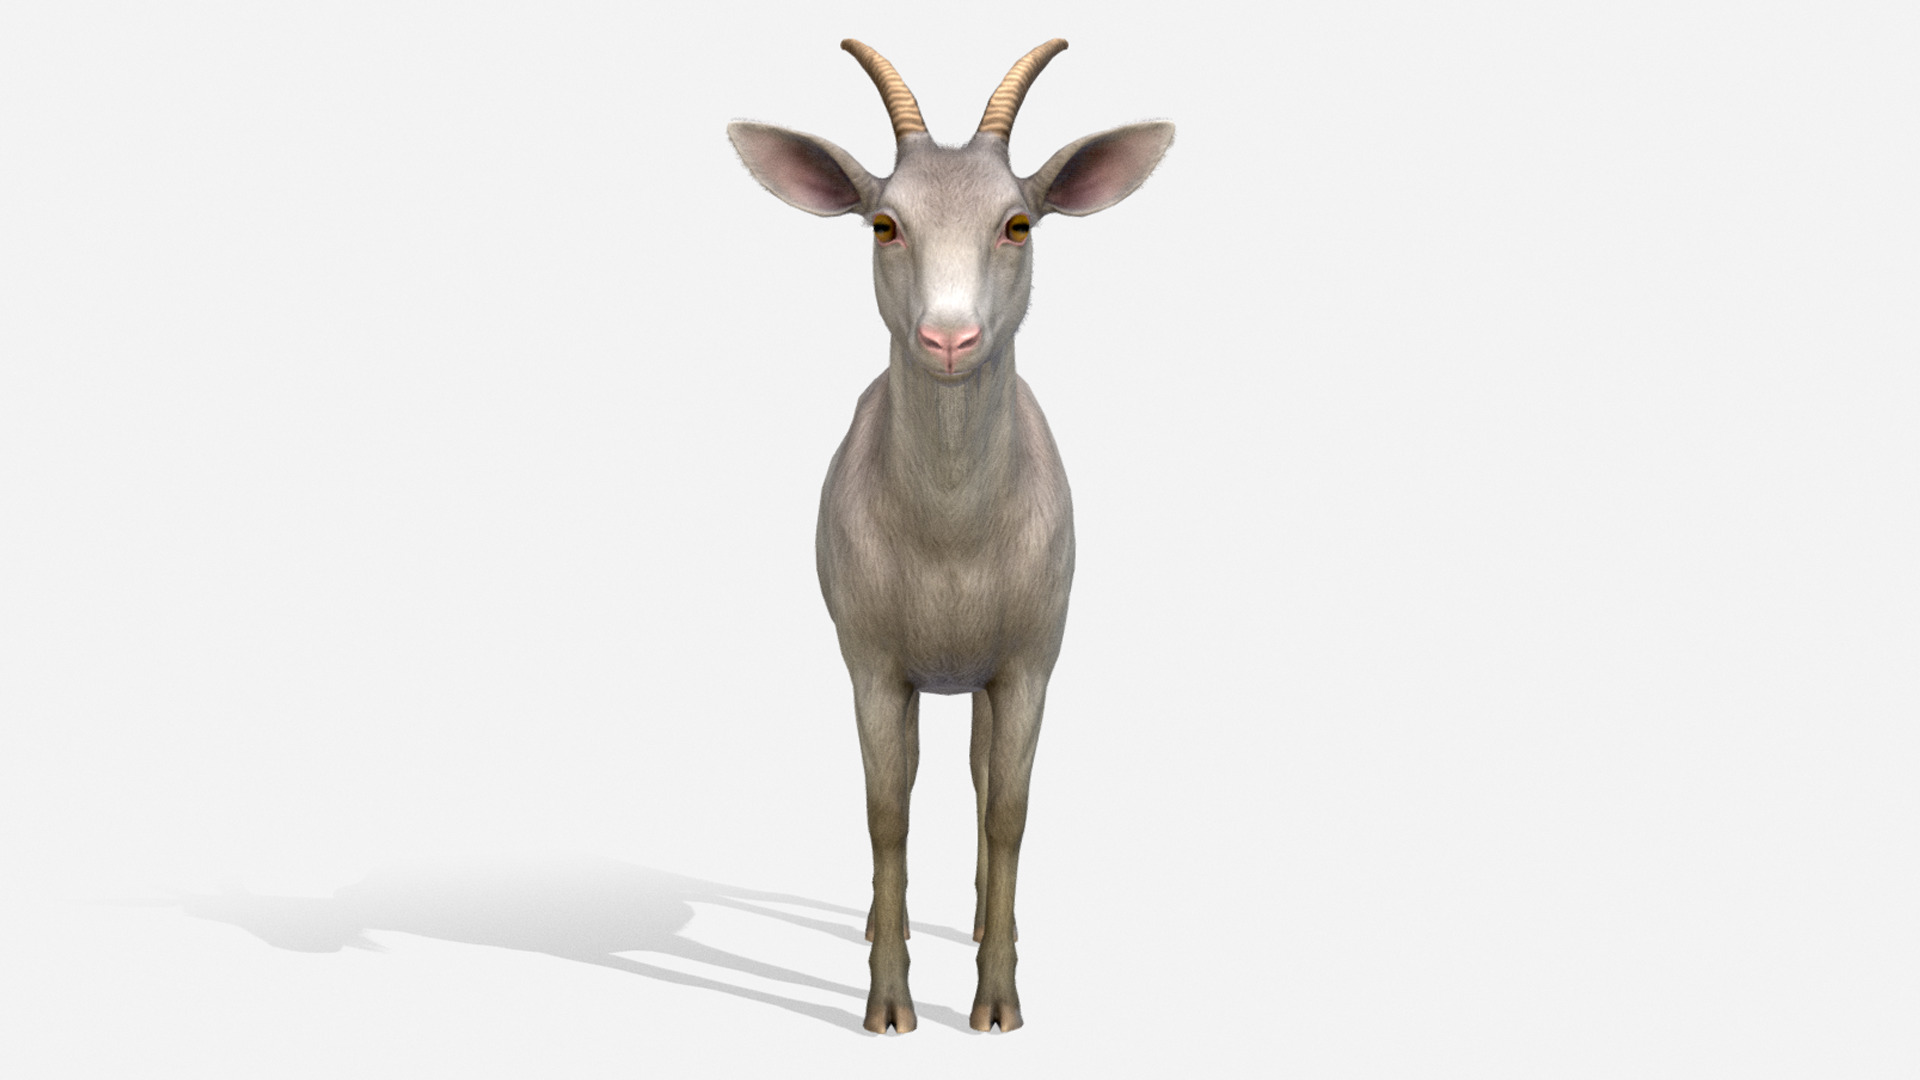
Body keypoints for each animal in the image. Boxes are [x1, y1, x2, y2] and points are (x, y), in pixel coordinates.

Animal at [727, 39, 1172, 1034]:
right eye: (885, 224)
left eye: (1018, 223)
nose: (950, 339)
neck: (952, 544)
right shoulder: (870, 662)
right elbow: (886, 811)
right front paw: (889, 1003)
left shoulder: (1032, 660)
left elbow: (1007, 810)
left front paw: (997, 999)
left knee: (974, 775)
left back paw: (973, 920)